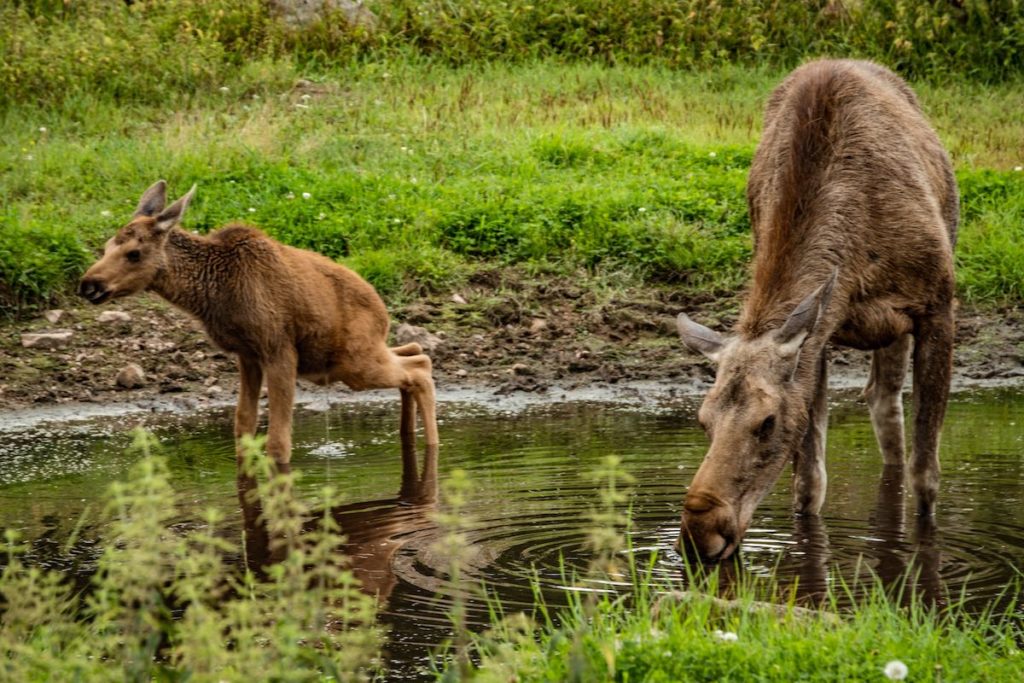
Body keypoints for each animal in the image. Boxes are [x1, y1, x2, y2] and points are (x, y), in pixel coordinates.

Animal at [75, 180, 436, 464]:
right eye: (106, 246)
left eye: (134, 253)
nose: (88, 284)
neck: (211, 295)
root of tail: (383, 313)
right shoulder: (247, 354)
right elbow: (244, 427)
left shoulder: (278, 349)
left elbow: (278, 443)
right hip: (357, 358)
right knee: (414, 351)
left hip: (352, 363)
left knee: (420, 368)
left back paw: (432, 446)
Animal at [675, 60, 954, 561]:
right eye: (703, 419)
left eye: (767, 422)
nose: (699, 532)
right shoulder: (819, 337)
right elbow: (808, 485)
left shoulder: (937, 305)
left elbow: (926, 478)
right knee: (880, 399)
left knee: (888, 406)